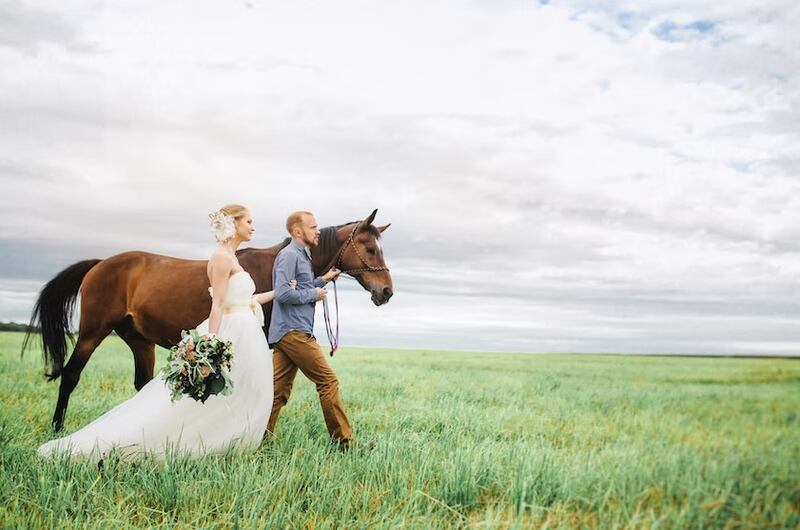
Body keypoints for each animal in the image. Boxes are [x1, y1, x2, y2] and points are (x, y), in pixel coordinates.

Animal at [26, 207, 396, 428]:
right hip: (92, 332)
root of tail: (100, 263)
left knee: (141, 384)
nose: (387, 292)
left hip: (139, 340)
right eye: (370, 248)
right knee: (71, 375)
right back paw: (57, 427)